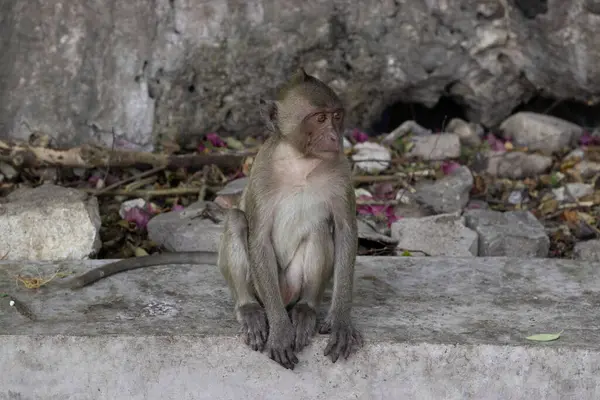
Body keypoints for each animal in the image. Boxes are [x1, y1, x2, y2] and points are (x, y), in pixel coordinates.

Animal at [68, 68, 364, 368]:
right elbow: (258, 238)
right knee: (236, 220)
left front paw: (340, 321)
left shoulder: (341, 170)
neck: (301, 162)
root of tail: (285, 298)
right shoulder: (262, 173)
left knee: (319, 230)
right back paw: (249, 307)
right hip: (263, 288)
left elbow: (345, 230)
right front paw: (281, 331)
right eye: (320, 118)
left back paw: (306, 308)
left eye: (336, 116)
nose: (334, 137)